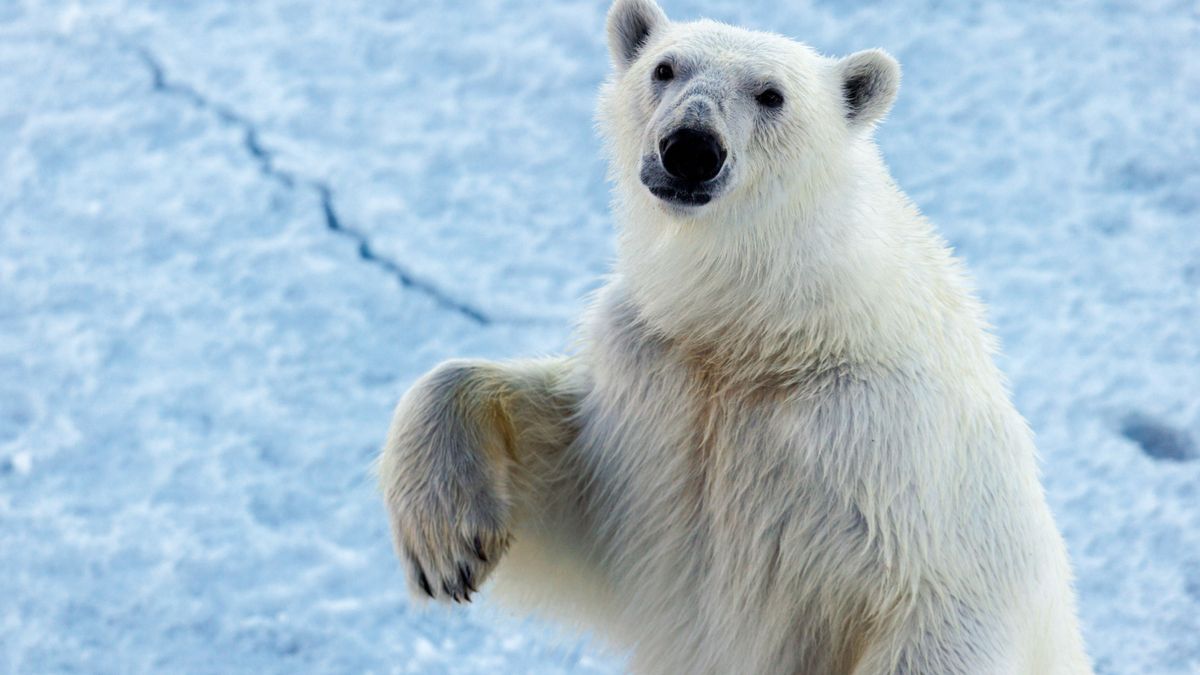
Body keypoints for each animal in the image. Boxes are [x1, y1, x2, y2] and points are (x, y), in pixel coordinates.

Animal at [378, 0, 1093, 672]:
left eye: (772, 94)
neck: (766, 332)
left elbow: (941, 608)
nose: (691, 148)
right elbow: (570, 493)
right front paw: (447, 547)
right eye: (665, 68)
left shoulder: (889, 450)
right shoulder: (651, 381)